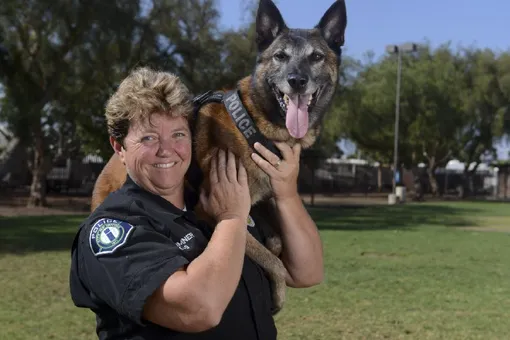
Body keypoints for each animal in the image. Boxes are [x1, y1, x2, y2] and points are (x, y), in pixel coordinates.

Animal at [90, 0, 346, 314]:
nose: (297, 80)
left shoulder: (264, 197)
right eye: (280, 56)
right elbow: (275, 261)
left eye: (317, 57)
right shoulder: (213, 212)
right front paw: (278, 294)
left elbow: (275, 242)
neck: (254, 121)